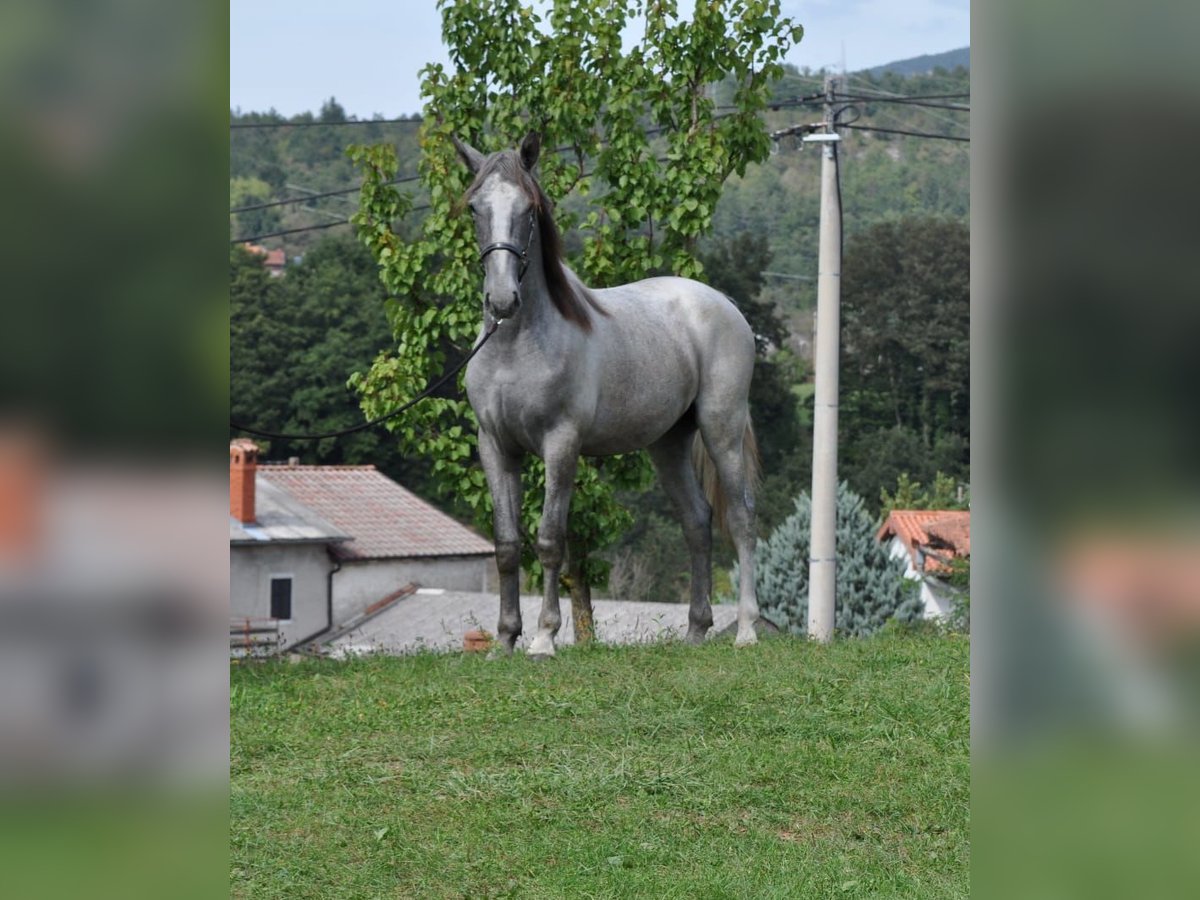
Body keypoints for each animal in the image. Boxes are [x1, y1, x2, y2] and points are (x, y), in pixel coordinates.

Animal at [451, 130, 758, 657]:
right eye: (475, 207)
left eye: (529, 209)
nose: (502, 300)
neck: (515, 345)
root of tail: (724, 304)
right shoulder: (495, 446)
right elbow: (507, 544)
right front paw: (504, 641)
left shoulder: (561, 444)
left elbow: (550, 539)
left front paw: (544, 638)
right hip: (668, 443)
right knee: (697, 521)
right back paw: (696, 632)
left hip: (722, 431)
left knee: (739, 519)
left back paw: (748, 631)